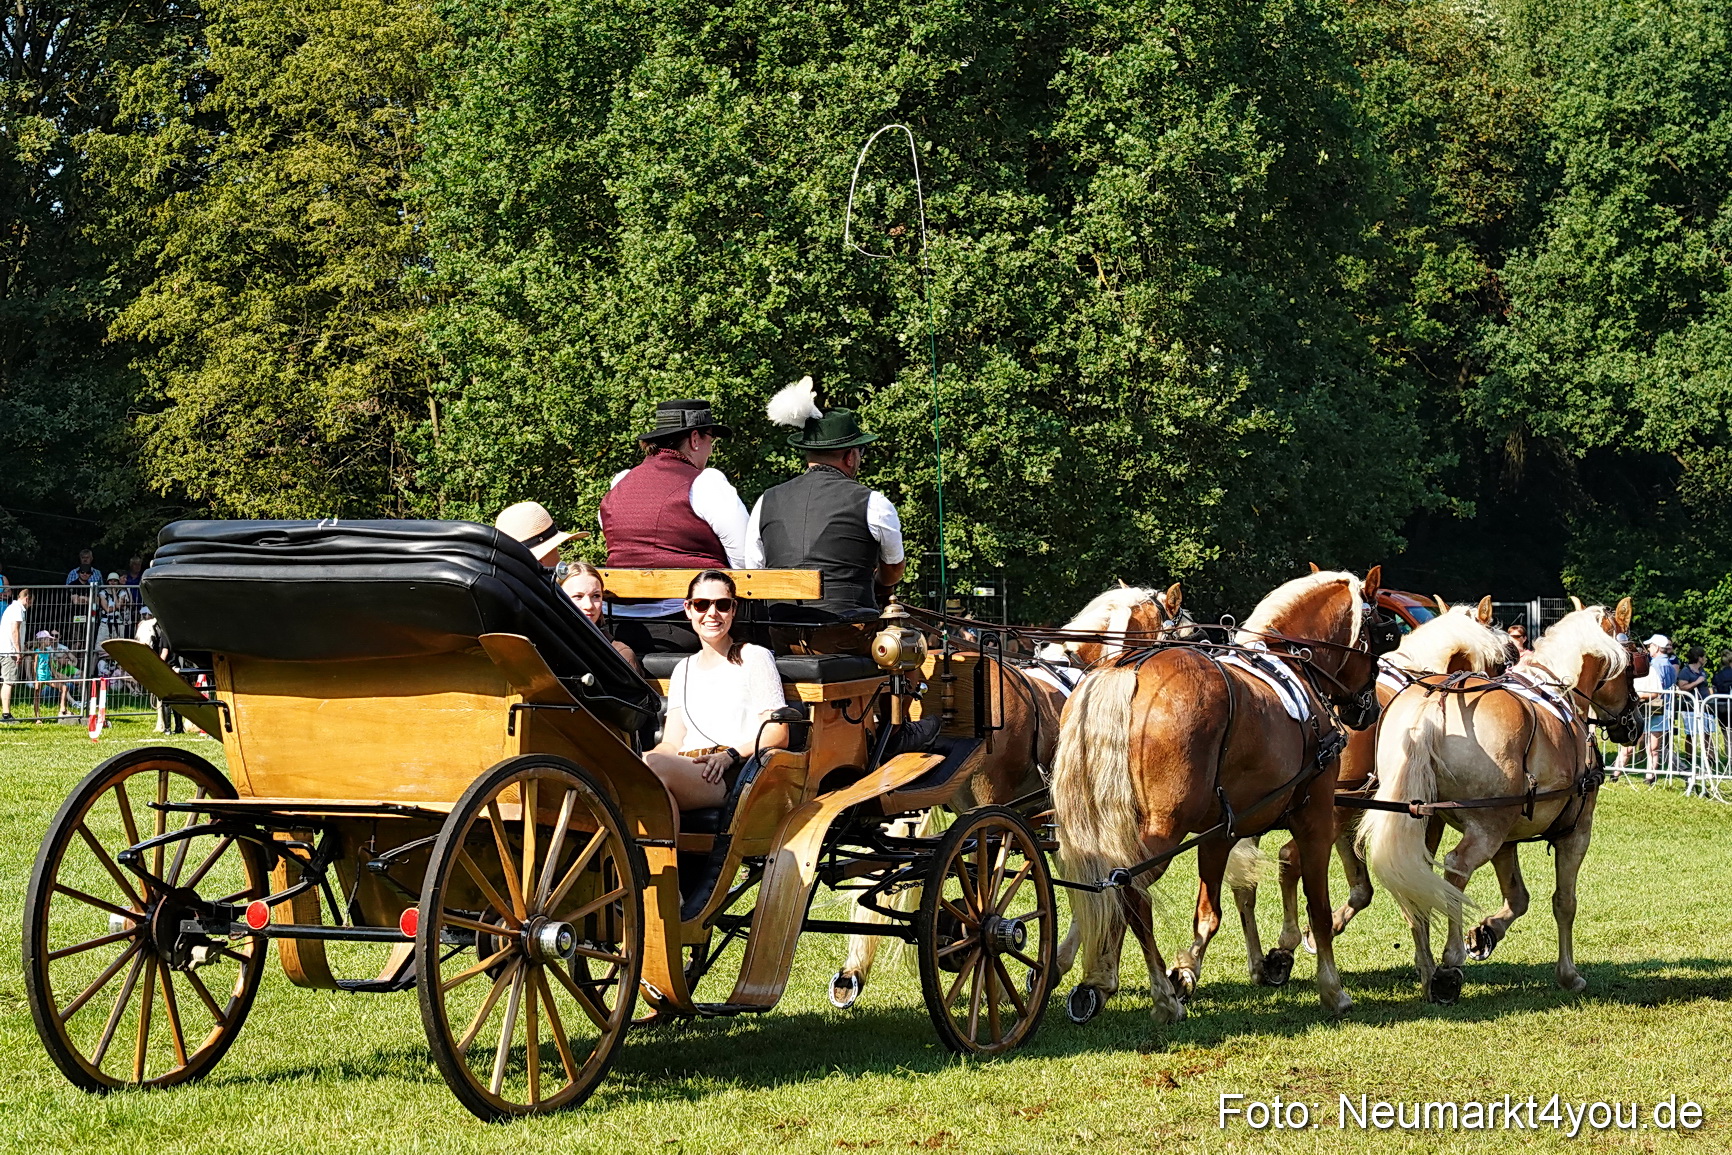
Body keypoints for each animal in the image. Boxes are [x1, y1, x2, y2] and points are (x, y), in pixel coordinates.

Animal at [1052, 568, 1382, 1024]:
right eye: (1376, 631)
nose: (1369, 710)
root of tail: (1124, 668)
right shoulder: (1314, 818)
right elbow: (1317, 906)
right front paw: (1332, 988)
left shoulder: (1220, 832)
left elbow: (1209, 914)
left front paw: (1185, 971)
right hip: (1162, 831)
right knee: (1130, 890)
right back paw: (1160, 997)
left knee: (1104, 886)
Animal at [1230, 597, 1515, 986]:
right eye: (1502, 661)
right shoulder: (1416, 818)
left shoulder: (1350, 819)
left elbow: (1362, 888)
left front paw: (1324, 929)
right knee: (1288, 859)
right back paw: (1281, 947)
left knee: (1245, 884)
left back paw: (1254, 961)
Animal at [1359, 600, 1639, 1003]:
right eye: (1633, 666)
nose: (1634, 724)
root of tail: (1436, 700)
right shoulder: (1574, 833)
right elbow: (1564, 902)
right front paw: (1569, 974)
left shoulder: (1508, 839)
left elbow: (1518, 897)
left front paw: (1486, 932)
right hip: (1486, 828)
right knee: (1456, 866)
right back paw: (1449, 963)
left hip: (1424, 819)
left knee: (1416, 875)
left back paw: (1427, 968)